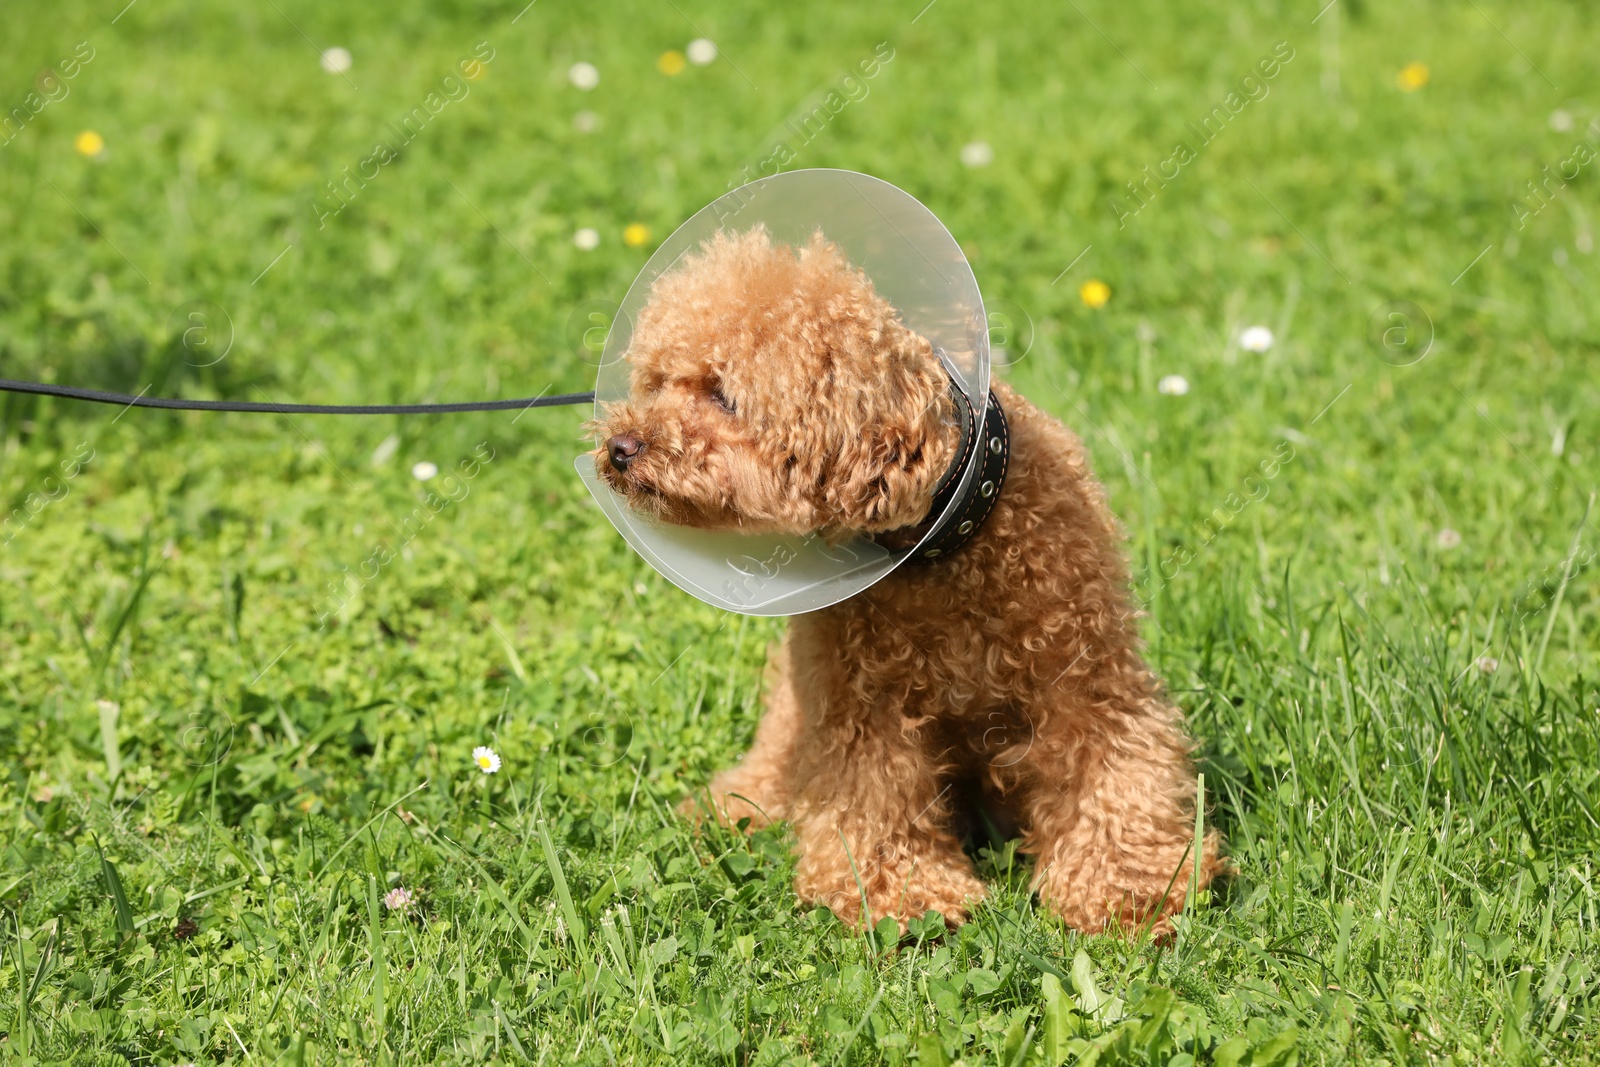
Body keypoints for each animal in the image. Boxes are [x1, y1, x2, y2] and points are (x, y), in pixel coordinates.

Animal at [595, 225, 1228, 934]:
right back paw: (727, 808)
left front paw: (1131, 890)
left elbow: (1111, 774)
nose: (618, 448)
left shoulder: (1088, 682)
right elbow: (875, 798)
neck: (949, 549)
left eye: (722, 395)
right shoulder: (862, 708)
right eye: (655, 384)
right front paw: (905, 896)